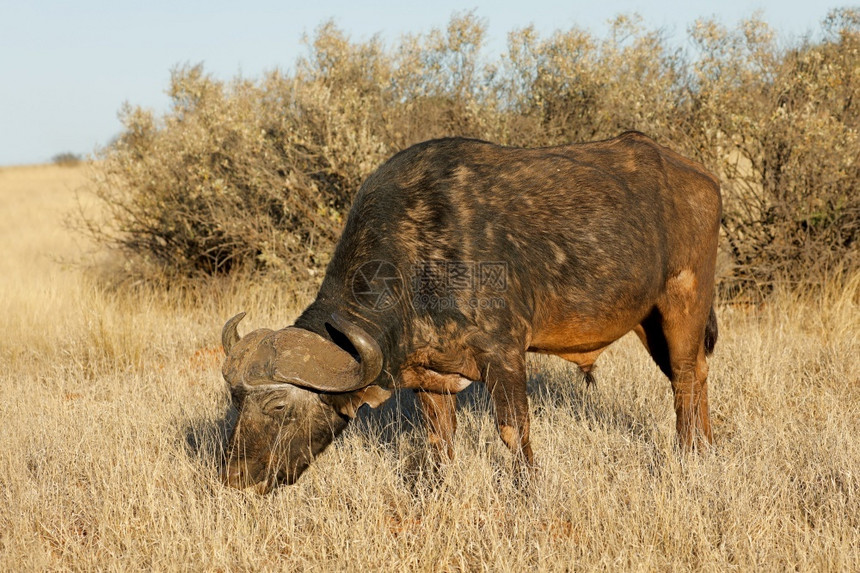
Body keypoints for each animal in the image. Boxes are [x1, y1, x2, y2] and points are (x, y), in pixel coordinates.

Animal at [220, 131, 720, 492]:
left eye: (280, 405)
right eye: (236, 401)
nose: (237, 479)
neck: (419, 257)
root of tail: (702, 179)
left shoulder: (505, 356)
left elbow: (514, 432)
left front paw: (526, 491)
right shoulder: (428, 375)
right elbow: (439, 441)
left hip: (683, 302)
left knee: (684, 378)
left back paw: (688, 454)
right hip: (648, 322)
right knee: (697, 372)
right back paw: (708, 448)